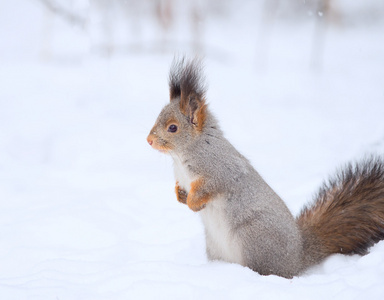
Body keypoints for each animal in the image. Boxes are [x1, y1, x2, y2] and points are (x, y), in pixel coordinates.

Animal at [146, 57, 384, 278]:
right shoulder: (182, 176)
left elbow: (212, 186)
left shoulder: (220, 169)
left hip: (254, 239)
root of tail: (297, 258)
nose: (148, 140)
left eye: (173, 128)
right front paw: (180, 196)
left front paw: (193, 203)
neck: (182, 155)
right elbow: (180, 187)